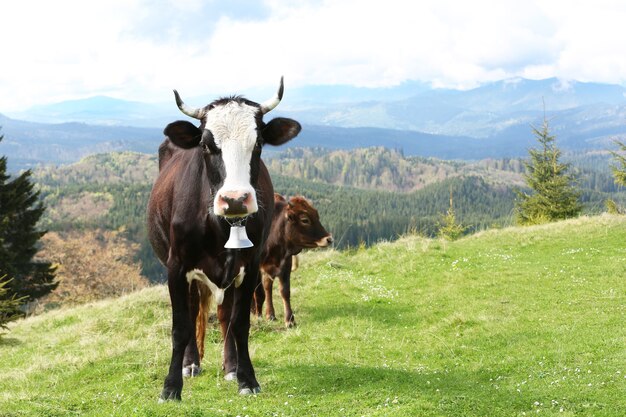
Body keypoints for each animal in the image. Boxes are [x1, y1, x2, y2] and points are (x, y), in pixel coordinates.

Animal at [147, 79, 302, 400]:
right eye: (207, 145)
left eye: (258, 143)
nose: (234, 200)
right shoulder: (176, 267)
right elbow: (180, 326)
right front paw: (171, 387)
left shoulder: (250, 266)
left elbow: (239, 323)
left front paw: (247, 379)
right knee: (195, 311)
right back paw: (191, 364)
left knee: (224, 315)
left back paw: (231, 367)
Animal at [252, 193, 334, 326]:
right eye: (305, 220)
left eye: (317, 216)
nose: (329, 239)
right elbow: (258, 292)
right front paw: (258, 315)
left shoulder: (286, 265)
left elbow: (285, 291)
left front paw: (290, 320)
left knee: (268, 287)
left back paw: (270, 314)